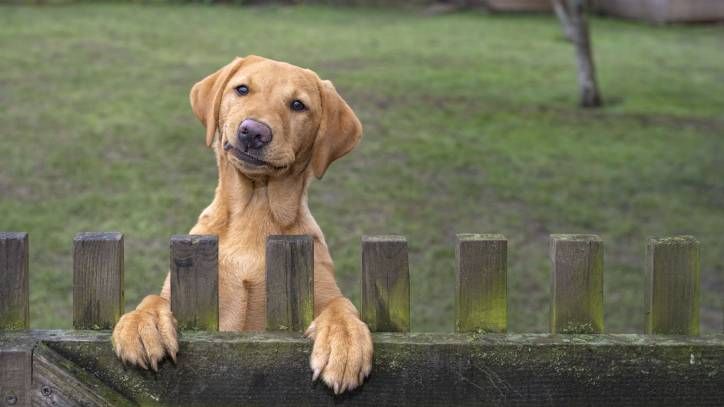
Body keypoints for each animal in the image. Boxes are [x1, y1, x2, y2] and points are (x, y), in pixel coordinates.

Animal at [113, 55, 376, 396]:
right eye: (242, 89)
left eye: (298, 105)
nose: (253, 132)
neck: (254, 210)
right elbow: (154, 298)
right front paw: (143, 323)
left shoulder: (323, 291)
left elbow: (341, 305)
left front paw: (344, 342)